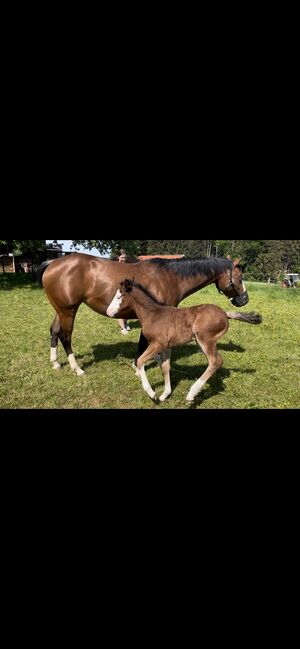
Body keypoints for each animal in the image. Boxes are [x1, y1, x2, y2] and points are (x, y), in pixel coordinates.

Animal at [106, 278, 262, 400]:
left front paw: (152, 393)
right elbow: (165, 366)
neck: (153, 314)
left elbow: (140, 361)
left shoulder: (158, 344)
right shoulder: (166, 346)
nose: (109, 312)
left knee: (216, 361)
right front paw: (165, 394)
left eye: (119, 296)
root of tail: (225, 313)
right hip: (201, 342)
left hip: (205, 339)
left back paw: (192, 393)